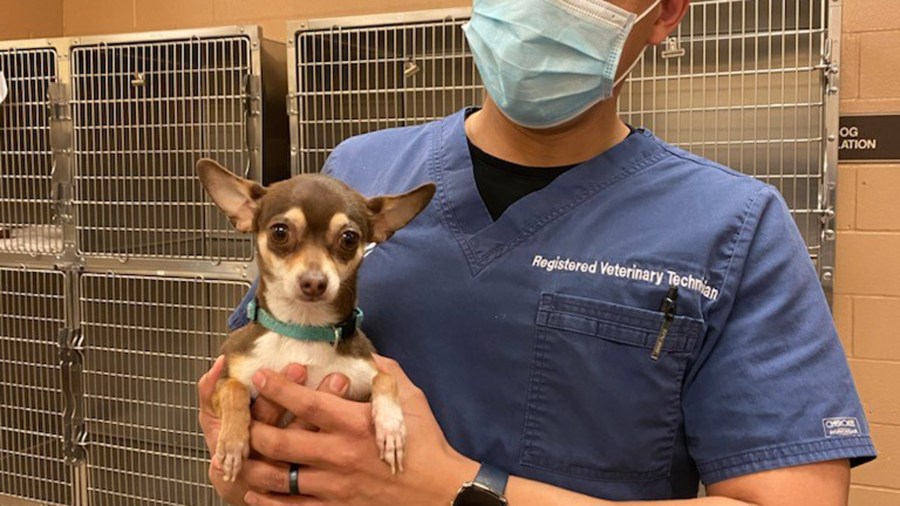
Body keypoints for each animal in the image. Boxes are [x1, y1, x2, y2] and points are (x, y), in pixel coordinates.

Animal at [197, 158, 436, 482]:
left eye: (349, 238)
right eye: (280, 232)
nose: (314, 282)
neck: (304, 329)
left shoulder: (361, 380)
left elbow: (385, 378)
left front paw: (391, 427)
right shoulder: (222, 381)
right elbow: (235, 389)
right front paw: (232, 444)